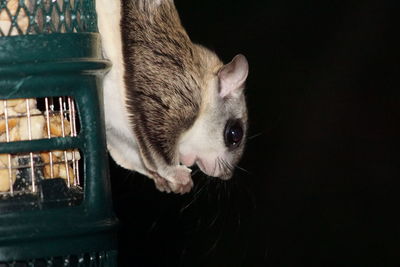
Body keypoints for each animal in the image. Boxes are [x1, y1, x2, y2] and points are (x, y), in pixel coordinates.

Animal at [95, 0, 248, 194]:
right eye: (235, 134)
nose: (226, 175)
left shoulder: (122, 135)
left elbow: (137, 158)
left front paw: (166, 181)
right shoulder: (172, 96)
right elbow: (159, 154)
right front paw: (175, 173)